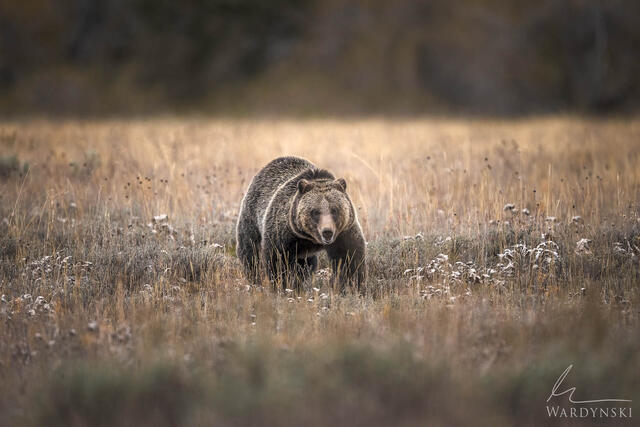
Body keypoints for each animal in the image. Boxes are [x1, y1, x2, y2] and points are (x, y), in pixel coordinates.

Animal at [236, 156, 366, 290]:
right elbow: (278, 261)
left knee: (307, 265)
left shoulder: (344, 232)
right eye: (315, 211)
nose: (327, 232)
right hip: (251, 216)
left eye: (334, 209)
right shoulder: (284, 234)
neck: (311, 239)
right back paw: (254, 277)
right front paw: (283, 284)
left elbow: (349, 258)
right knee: (250, 250)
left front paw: (351, 285)